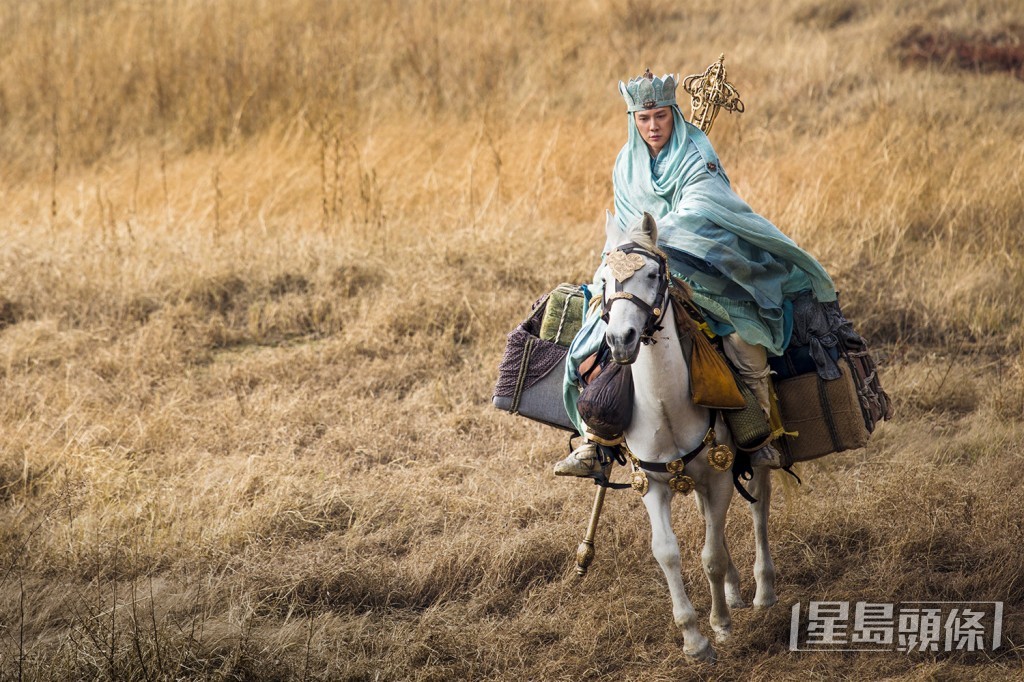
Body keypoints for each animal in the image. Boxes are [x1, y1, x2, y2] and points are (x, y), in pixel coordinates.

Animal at [598, 212, 777, 662]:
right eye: (603, 280)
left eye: (651, 274)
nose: (621, 340)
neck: (666, 408)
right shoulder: (652, 485)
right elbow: (667, 551)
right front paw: (694, 640)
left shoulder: (720, 475)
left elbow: (710, 555)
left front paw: (721, 627)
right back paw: (734, 591)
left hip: (751, 464)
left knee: (759, 509)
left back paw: (763, 592)